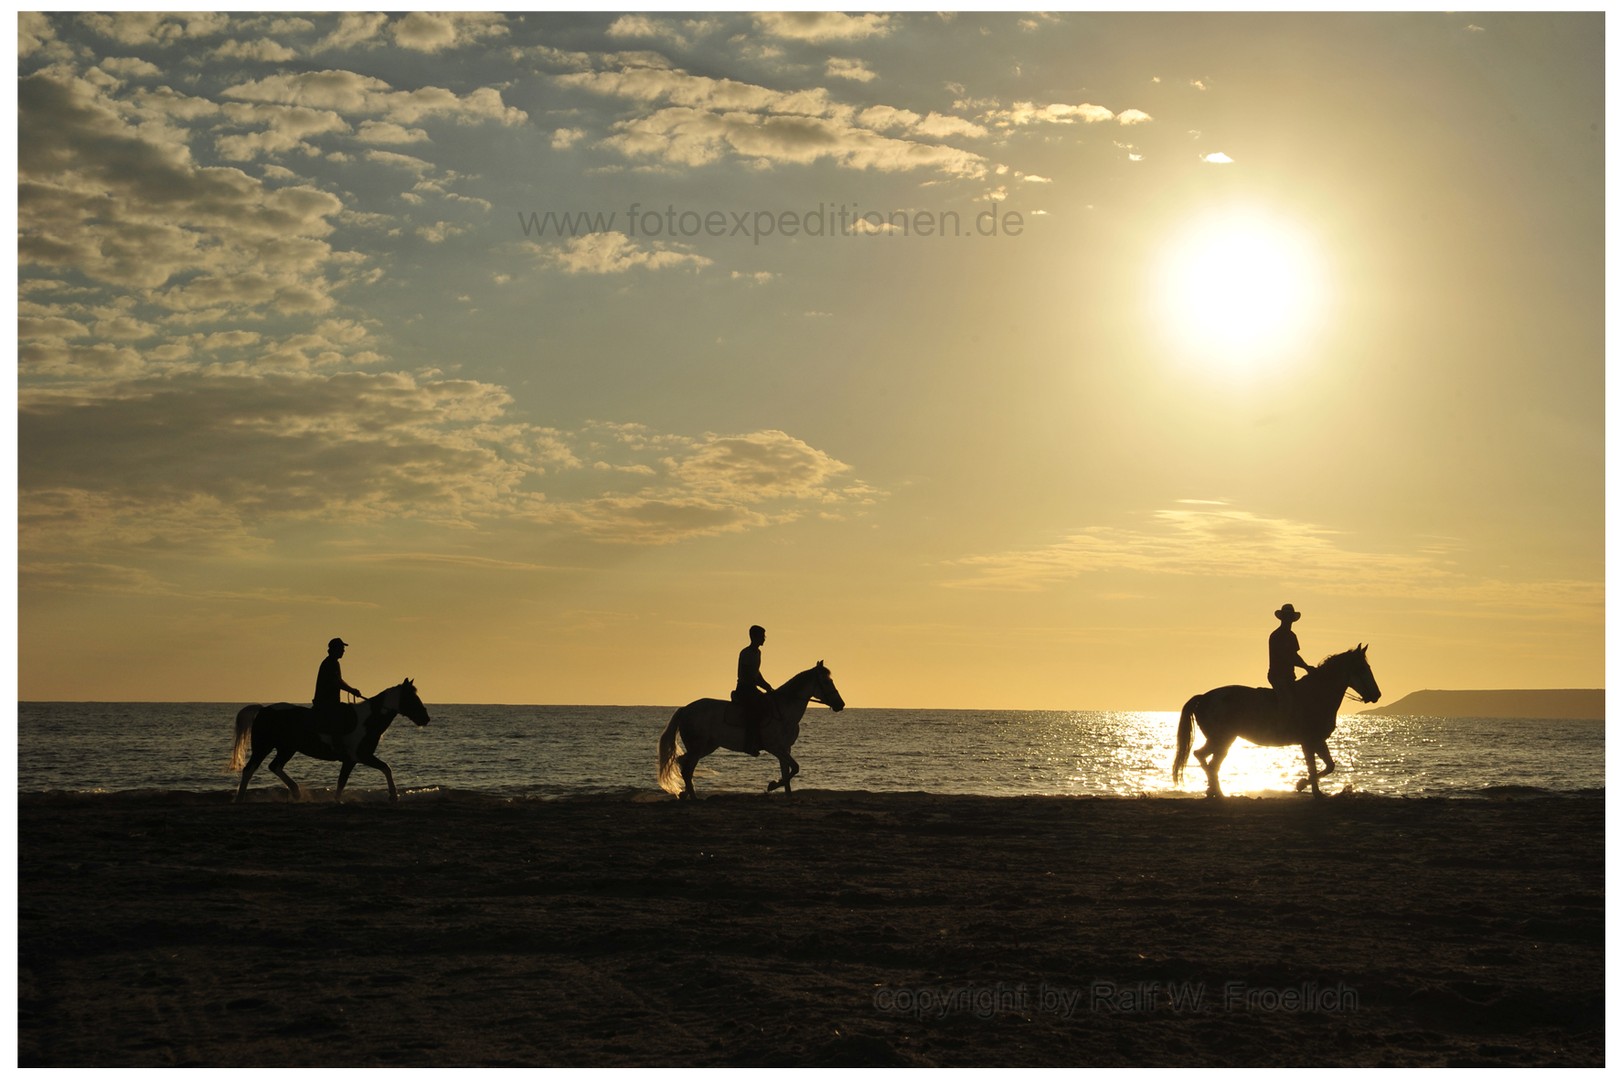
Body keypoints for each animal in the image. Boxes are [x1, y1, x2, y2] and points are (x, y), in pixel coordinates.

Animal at [230, 680, 430, 799]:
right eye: (411, 698)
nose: (425, 718)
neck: (368, 719)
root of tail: (264, 709)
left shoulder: (352, 759)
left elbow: (343, 781)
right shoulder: (359, 756)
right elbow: (384, 768)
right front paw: (393, 795)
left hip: (286, 749)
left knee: (275, 766)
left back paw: (296, 791)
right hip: (263, 747)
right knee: (249, 769)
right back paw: (240, 797)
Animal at [654, 660, 848, 803]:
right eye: (827, 681)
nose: (841, 704)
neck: (785, 710)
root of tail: (685, 709)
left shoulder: (785, 748)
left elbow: (788, 771)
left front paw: (788, 795)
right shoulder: (774, 747)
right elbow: (795, 767)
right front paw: (772, 785)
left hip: (706, 747)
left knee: (683, 763)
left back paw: (684, 794)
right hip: (699, 747)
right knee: (687, 768)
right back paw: (693, 797)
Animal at [1172, 647, 1386, 799]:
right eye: (1362, 668)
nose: (1377, 694)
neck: (1316, 695)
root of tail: (1204, 697)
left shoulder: (1318, 741)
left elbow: (1328, 766)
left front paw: (1308, 787)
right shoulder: (1308, 741)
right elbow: (1315, 767)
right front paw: (1308, 788)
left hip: (1221, 740)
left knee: (1206, 760)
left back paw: (1213, 790)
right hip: (1222, 739)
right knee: (1206, 760)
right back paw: (1217, 791)